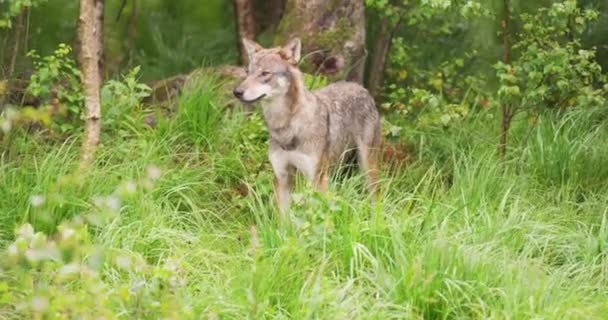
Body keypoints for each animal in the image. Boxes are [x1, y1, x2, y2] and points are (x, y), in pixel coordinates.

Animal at [233, 37, 380, 212]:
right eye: (247, 73)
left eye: (265, 73)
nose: (237, 92)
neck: (286, 128)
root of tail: (361, 88)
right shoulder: (282, 177)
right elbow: (283, 217)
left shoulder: (316, 179)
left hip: (367, 166)